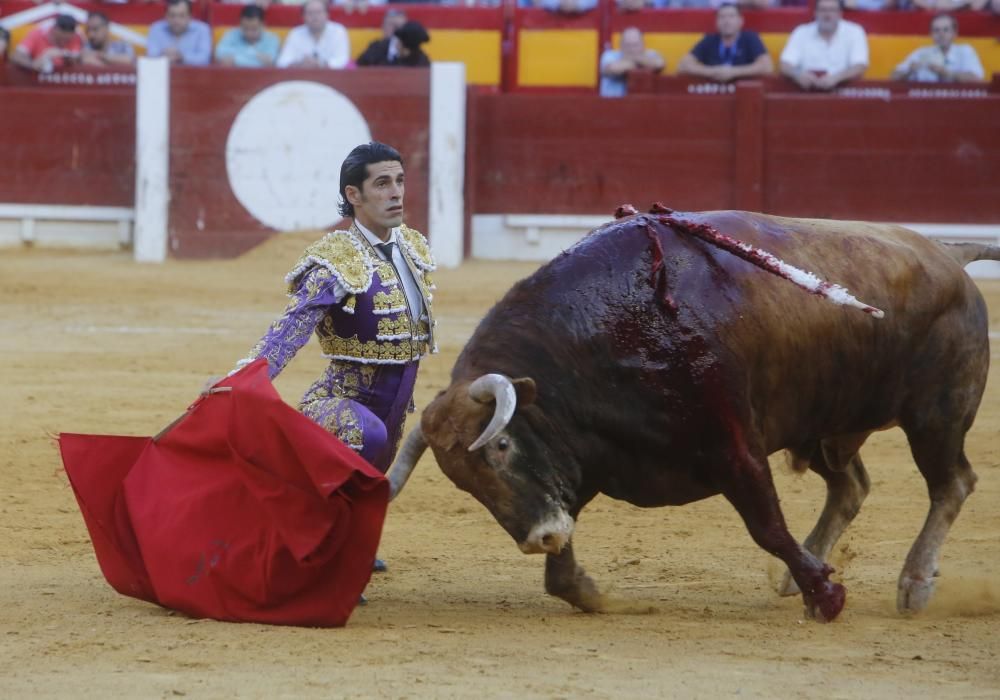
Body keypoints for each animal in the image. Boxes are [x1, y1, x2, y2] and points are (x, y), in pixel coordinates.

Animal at [384, 205, 1000, 620]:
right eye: (464, 485)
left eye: (502, 446)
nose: (538, 538)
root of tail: (948, 254)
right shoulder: (582, 459)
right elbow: (563, 558)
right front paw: (588, 589)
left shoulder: (736, 447)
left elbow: (767, 525)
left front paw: (828, 596)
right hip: (823, 423)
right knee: (851, 486)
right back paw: (796, 575)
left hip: (935, 417)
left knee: (951, 483)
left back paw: (913, 583)